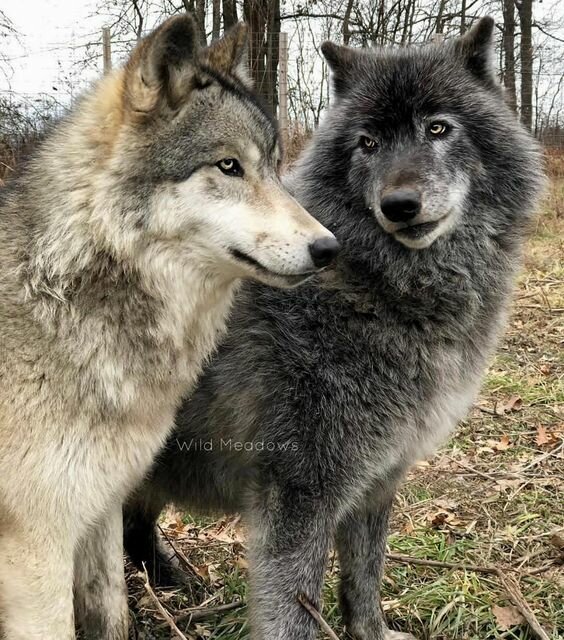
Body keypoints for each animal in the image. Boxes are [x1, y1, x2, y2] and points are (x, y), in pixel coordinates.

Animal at [0, 15, 338, 640]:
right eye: (229, 166)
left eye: (274, 167)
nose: (329, 248)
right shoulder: (37, 542)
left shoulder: (102, 502)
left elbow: (111, 612)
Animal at [124, 17, 544, 640]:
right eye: (367, 143)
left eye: (438, 128)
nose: (399, 204)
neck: (375, 286)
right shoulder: (301, 492)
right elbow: (294, 608)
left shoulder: (379, 477)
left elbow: (364, 576)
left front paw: (372, 632)